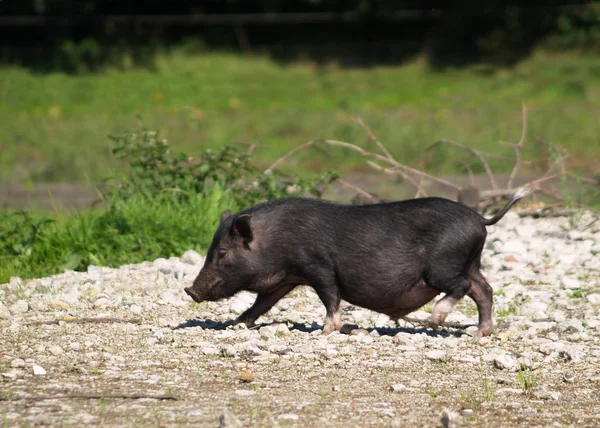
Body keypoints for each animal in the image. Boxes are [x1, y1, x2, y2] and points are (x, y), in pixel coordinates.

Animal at [186, 188, 528, 338]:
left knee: (464, 286)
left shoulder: (317, 266)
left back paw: (435, 320)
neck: (275, 241)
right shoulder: (286, 279)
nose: (190, 291)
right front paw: (236, 324)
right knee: (485, 290)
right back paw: (481, 333)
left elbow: (330, 295)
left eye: (222, 253)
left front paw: (327, 330)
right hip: (470, 262)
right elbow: (260, 304)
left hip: (443, 267)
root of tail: (481, 219)